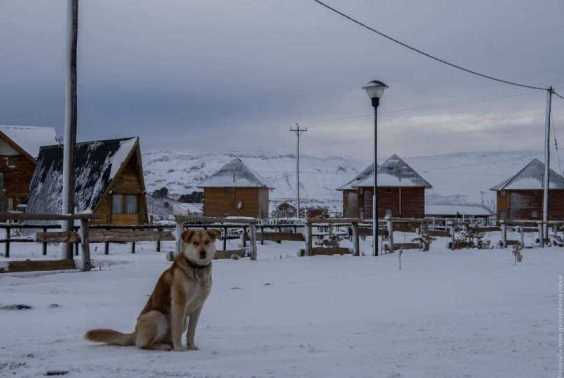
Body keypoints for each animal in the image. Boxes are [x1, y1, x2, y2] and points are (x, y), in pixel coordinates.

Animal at [85, 227, 219, 352]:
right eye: (195, 243)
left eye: (207, 242)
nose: (203, 253)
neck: (197, 269)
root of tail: (135, 333)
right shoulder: (179, 304)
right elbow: (177, 330)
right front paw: (179, 348)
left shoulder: (198, 307)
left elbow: (191, 331)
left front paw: (191, 347)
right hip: (156, 315)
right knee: (143, 345)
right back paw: (163, 346)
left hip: (177, 320)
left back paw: (167, 344)